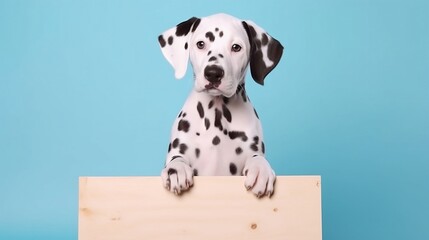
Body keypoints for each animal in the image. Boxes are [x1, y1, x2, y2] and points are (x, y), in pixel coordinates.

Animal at [159, 12, 282, 197]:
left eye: (236, 47)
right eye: (201, 44)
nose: (213, 73)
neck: (216, 114)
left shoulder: (252, 150)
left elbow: (257, 158)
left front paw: (261, 169)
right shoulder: (179, 148)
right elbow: (177, 159)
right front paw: (177, 169)